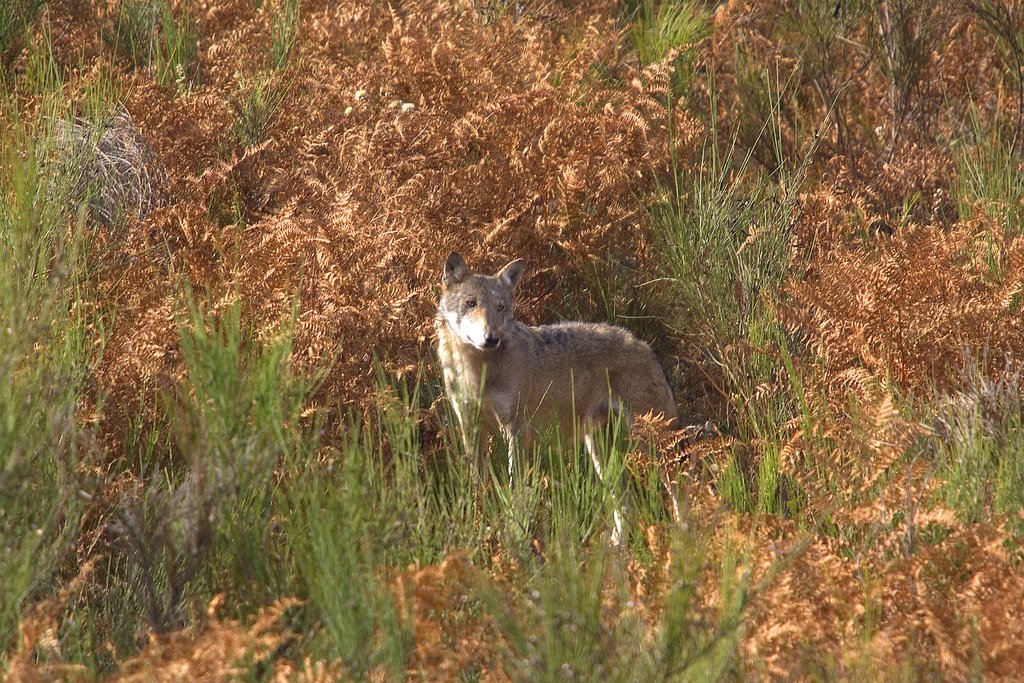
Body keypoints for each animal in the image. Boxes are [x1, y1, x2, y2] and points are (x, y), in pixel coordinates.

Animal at [435, 252, 678, 543]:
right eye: (471, 303)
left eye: (500, 307)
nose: (491, 338)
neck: (478, 374)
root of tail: (648, 349)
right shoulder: (471, 428)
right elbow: (477, 485)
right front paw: (476, 527)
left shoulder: (516, 430)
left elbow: (516, 489)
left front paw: (515, 535)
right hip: (600, 452)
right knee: (625, 501)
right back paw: (616, 546)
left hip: (651, 444)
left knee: (681, 487)